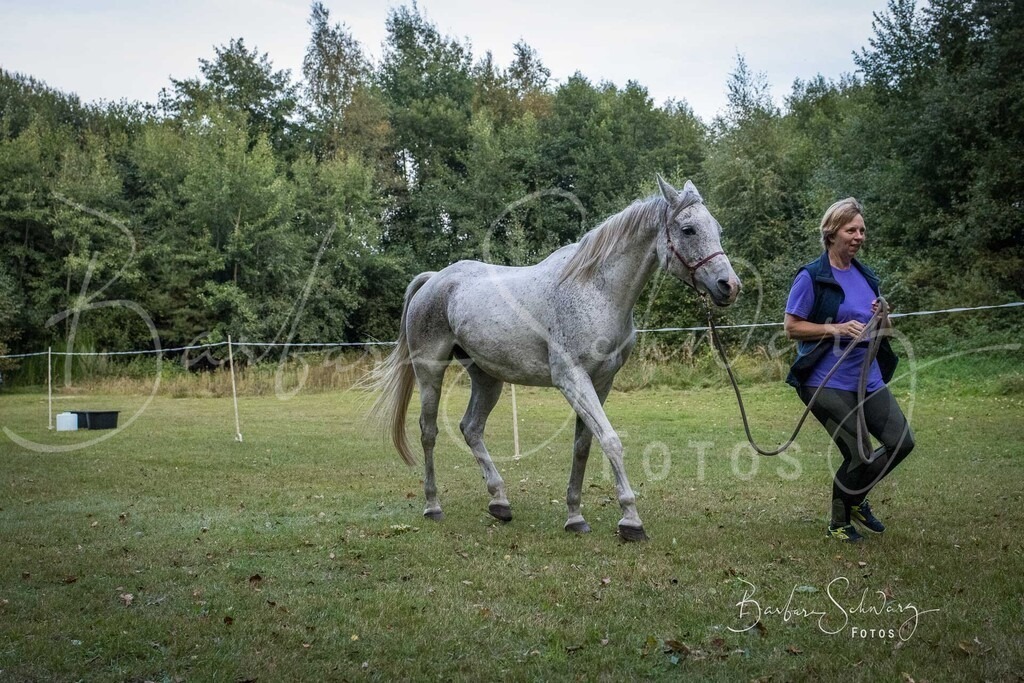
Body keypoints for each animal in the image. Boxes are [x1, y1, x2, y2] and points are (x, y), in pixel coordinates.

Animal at [369, 176, 740, 541]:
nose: (730, 285)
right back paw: (433, 506)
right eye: (688, 230)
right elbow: (611, 440)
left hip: (487, 378)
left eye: (718, 229)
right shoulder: (572, 379)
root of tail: (434, 281)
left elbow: (583, 446)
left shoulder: (601, 382)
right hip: (430, 372)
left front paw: (575, 516)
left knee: (471, 428)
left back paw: (499, 501)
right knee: (429, 432)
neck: (596, 291)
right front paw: (631, 520)